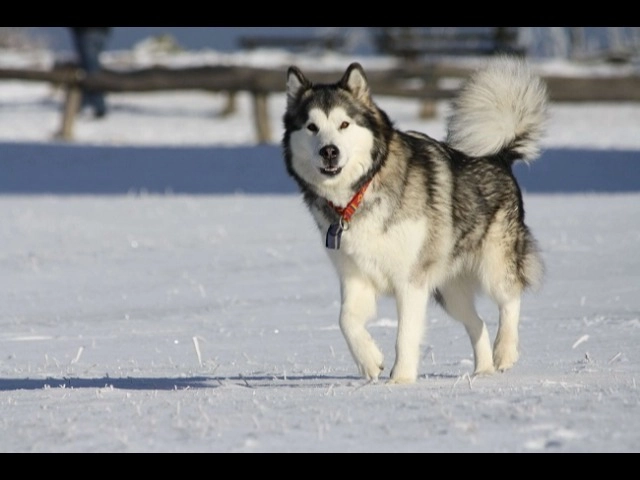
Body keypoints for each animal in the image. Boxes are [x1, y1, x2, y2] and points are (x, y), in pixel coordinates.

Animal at [282, 57, 548, 382]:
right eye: (311, 127)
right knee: (477, 323)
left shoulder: (410, 280)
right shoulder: (356, 276)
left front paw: (400, 380)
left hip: (494, 263)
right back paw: (483, 371)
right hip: (448, 290)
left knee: (510, 297)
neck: (361, 192)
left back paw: (505, 351)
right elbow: (345, 320)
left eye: (344, 124)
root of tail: (498, 156)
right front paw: (370, 362)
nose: (329, 151)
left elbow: (405, 334)